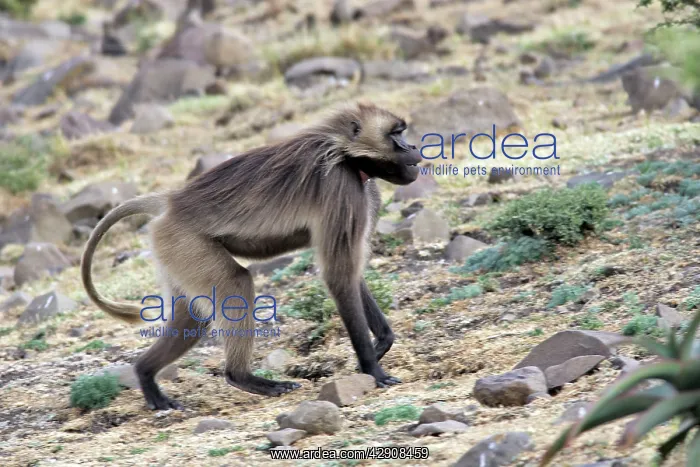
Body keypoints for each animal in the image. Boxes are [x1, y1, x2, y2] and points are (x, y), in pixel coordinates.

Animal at [81, 103, 422, 410]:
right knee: (235, 283)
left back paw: (147, 376)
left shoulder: (365, 192)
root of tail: (170, 201)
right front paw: (373, 369)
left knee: (193, 315)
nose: (414, 148)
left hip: (173, 252)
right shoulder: (342, 188)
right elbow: (339, 275)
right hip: (184, 242)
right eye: (396, 134)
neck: (344, 153)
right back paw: (245, 378)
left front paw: (382, 343)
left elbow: (349, 274)